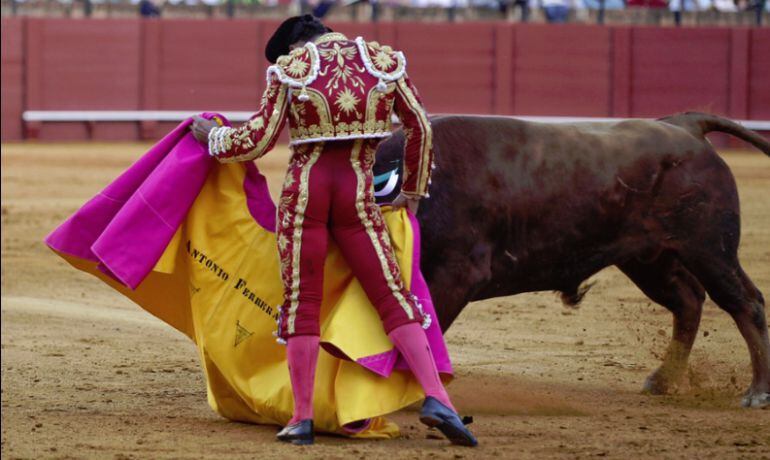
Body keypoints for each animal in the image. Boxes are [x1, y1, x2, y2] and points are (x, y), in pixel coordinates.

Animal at [374, 111, 768, 406]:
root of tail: (685, 126)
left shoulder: (457, 274)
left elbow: (423, 333)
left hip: (709, 247)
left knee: (745, 302)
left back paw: (756, 393)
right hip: (648, 260)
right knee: (688, 300)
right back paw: (661, 380)